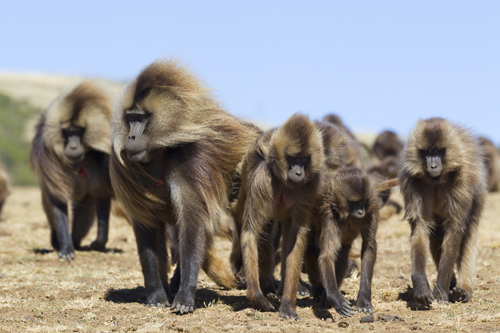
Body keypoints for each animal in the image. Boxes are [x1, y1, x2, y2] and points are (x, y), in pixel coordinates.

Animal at [30, 81, 114, 262]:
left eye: (79, 131)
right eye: (68, 132)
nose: (73, 147)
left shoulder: (106, 157)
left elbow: (103, 193)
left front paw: (99, 242)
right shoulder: (49, 155)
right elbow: (57, 200)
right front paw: (66, 249)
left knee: (84, 212)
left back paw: (76, 242)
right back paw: (58, 240)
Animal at [396, 117, 486, 306]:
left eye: (438, 151)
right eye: (426, 152)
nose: (433, 165)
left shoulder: (463, 179)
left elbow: (455, 229)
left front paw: (440, 292)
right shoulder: (412, 182)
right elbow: (420, 227)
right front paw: (421, 287)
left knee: (468, 233)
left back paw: (463, 290)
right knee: (436, 235)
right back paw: (452, 283)